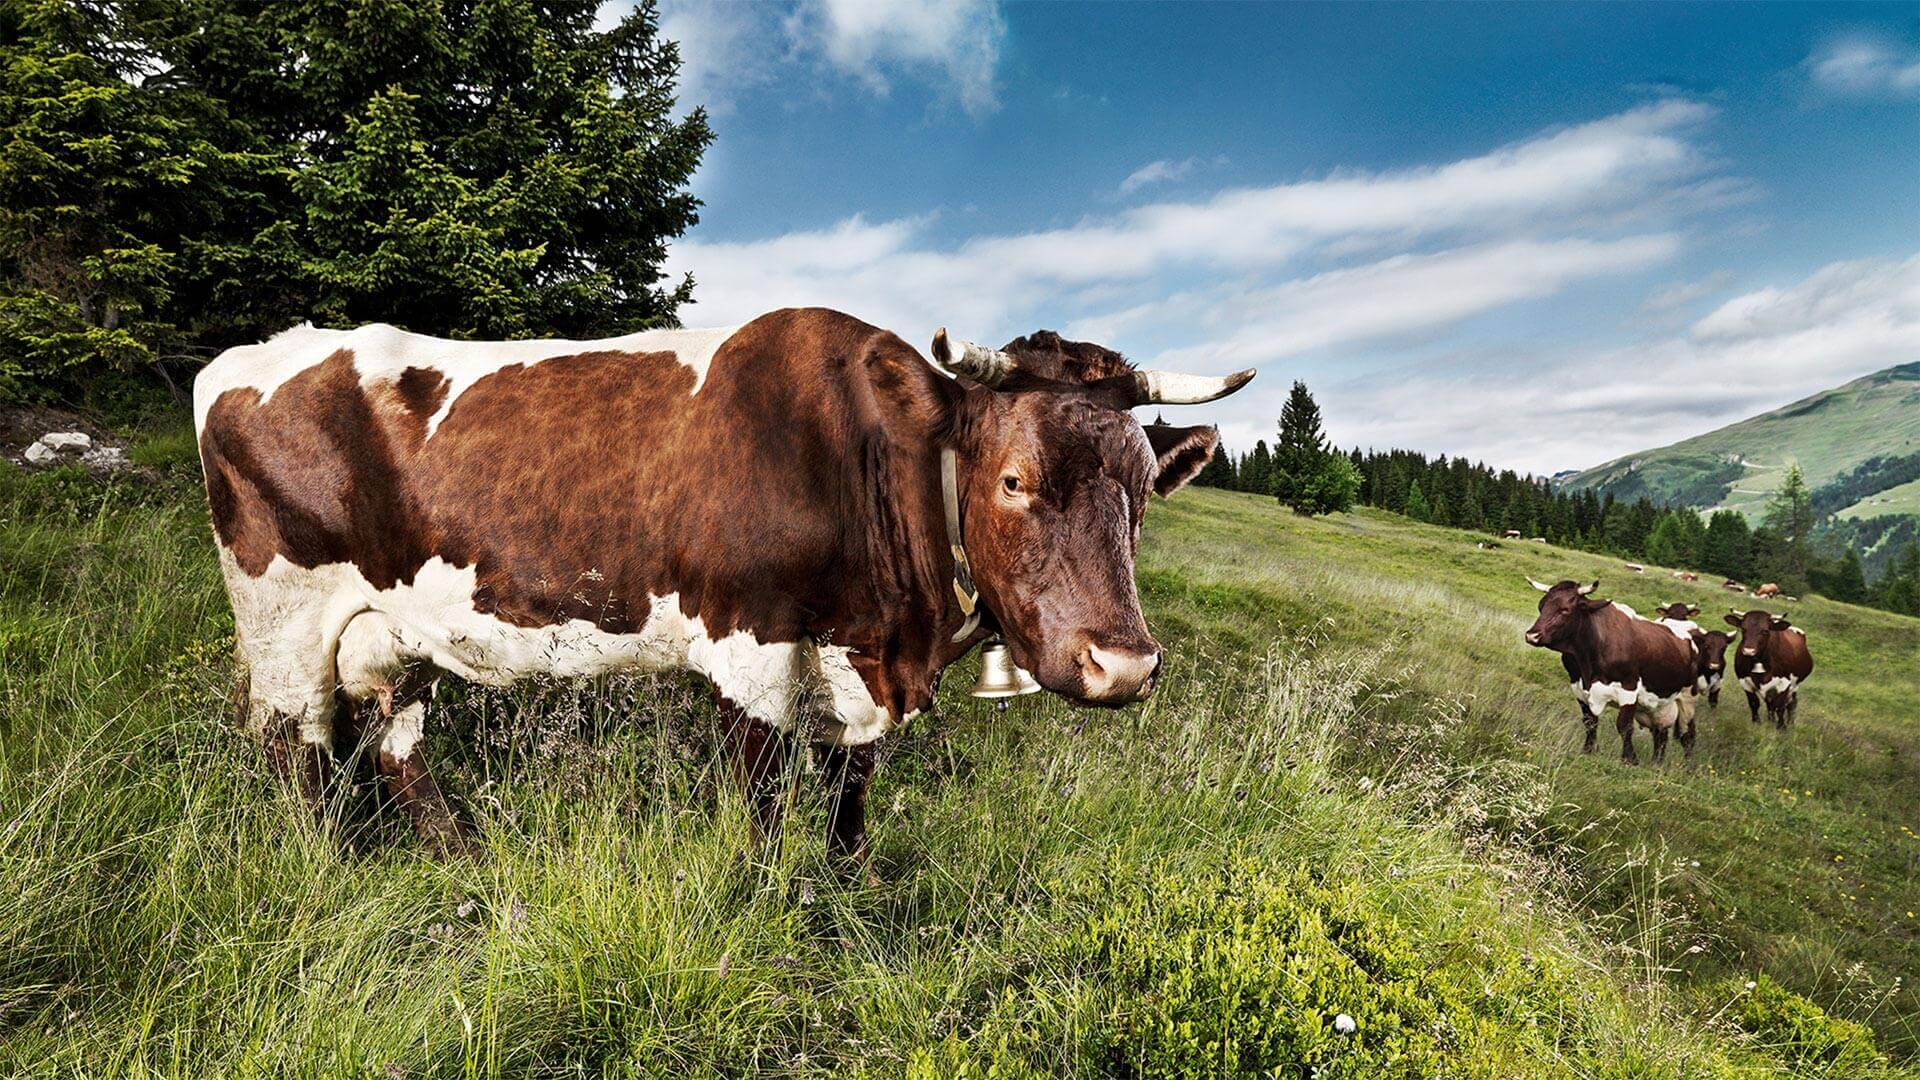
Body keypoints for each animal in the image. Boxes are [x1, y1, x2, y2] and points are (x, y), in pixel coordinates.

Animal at [187, 307, 1251, 853]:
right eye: (1013, 479)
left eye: (1144, 490)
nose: (1123, 665)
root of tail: (249, 353)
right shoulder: (754, 646)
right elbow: (768, 808)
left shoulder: (857, 665)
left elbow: (849, 800)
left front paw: (845, 896)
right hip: (285, 624)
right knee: (298, 755)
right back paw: (332, 870)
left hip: (394, 630)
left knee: (393, 744)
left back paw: (464, 862)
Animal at [1520, 576, 1704, 760]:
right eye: (1541, 606)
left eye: (1565, 610)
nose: (1532, 635)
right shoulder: (1578, 688)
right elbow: (1590, 722)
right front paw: (1588, 751)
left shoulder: (1629, 688)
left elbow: (1624, 726)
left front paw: (1629, 759)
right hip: (1657, 707)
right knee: (1661, 734)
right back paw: (1656, 763)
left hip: (1688, 699)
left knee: (1688, 735)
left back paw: (1686, 764)